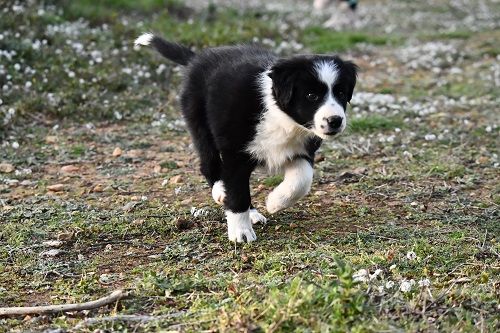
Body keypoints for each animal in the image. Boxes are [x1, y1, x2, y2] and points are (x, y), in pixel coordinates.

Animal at [135, 33, 358, 241]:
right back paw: (221, 192)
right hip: (200, 124)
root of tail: (197, 58)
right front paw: (240, 232)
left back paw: (253, 212)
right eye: (311, 96)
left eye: (340, 93)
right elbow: (238, 191)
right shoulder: (235, 152)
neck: (279, 117)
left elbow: (301, 181)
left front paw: (275, 202)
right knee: (209, 163)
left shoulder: (302, 149)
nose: (335, 120)